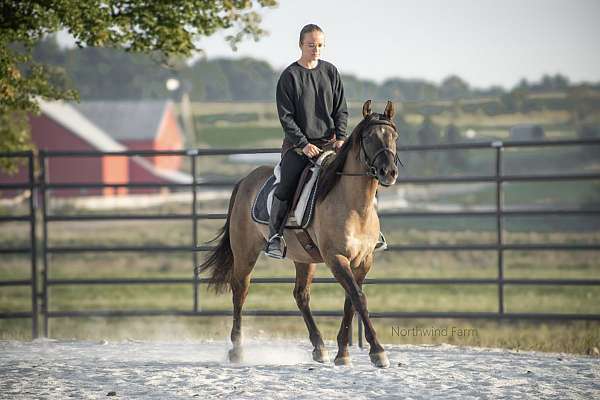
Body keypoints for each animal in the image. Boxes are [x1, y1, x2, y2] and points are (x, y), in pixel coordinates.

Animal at [199, 100, 400, 368]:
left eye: (394, 136)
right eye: (368, 137)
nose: (389, 172)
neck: (354, 206)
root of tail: (245, 181)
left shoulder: (363, 261)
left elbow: (351, 301)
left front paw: (342, 353)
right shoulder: (336, 258)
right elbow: (359, 298)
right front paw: (378, 352)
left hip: (304, 258)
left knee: (301, 295)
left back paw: (319, 347)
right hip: (245, 253)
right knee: (240, 291)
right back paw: (237, 351)